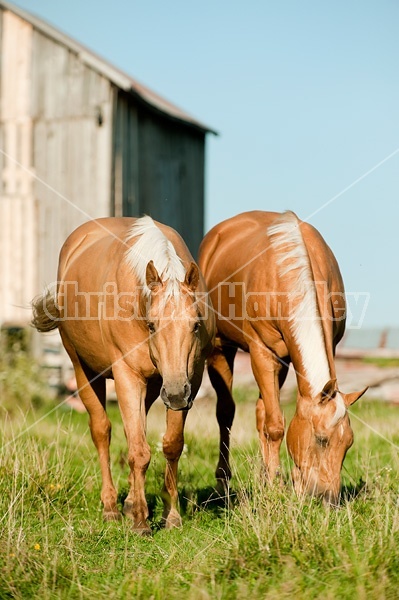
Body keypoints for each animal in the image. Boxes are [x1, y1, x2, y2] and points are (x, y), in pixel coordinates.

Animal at [32, 217, 214, 536]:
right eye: (152, 325)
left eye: (194, 325)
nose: (175, 393)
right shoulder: (127, 376)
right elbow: (139, 451)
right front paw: (141, 521)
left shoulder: (190, 379)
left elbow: (171, 445)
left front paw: (171, 516)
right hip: (84, 370)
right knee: (102, 431)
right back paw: (111, 508)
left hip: (153, 387)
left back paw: (128, 502)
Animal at [200, 212, 368, 506]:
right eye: (322, 439)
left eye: (348, 442)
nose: (328, 499)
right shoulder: (262, 353)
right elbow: (276, 426)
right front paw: (277, 487)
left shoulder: (298, 356)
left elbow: (269, 419)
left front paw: (274, 481)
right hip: (221, 350)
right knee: (226, 413)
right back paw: (223, 481)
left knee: (260, 412)